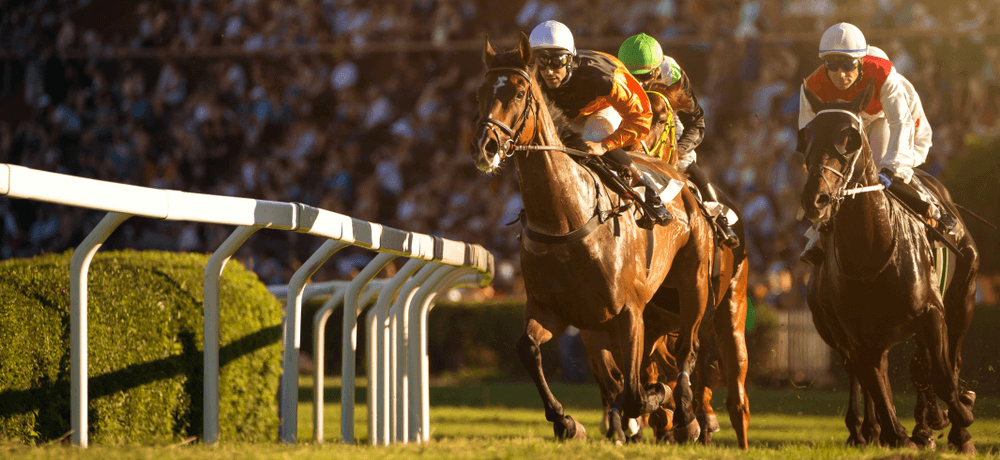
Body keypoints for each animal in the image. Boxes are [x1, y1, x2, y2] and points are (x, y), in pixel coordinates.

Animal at [472, 32, 716, 442]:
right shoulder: (553, 310)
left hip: (692, 282)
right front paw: (566, 421)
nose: (485, 147)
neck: (566, 220)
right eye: (480, 92)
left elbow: (635, 394)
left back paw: (686, 416)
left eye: (520, 92)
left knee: (688, 348)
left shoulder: (629, 314)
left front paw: (655, 405)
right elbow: (528, 349)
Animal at [584, 81, 752, 448]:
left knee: (736, 391)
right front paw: (648, 418)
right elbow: (630, 374)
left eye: (661, 116)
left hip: (732, 303)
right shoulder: (633, 320)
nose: (625, 157)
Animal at [800, 80, 980, 452]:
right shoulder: (857, 335)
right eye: (805, 137)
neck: (873, 250)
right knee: (873, 371)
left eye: (850, 137)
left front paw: (959, 417)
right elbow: (876, 380)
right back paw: (873, 429)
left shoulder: (931, 311)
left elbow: (942, 374)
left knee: (943, 362)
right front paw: (895, 433)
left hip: (964, 297)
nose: (816, 198)